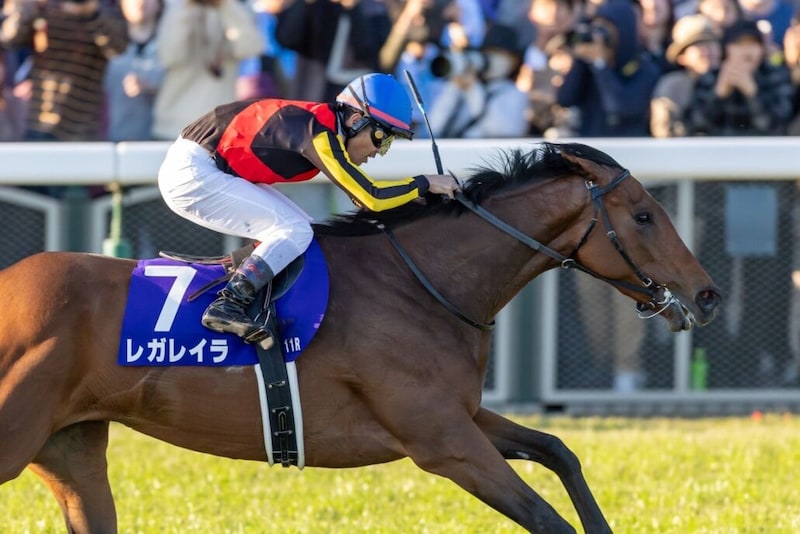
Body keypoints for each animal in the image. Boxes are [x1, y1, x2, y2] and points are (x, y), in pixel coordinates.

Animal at [0, 142, 720, 533]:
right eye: (645, 216)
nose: (708, 294)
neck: (422, 283)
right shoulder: (440, 441)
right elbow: (545, 515)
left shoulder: (456, 415)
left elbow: (557, 450)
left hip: (71, 452)